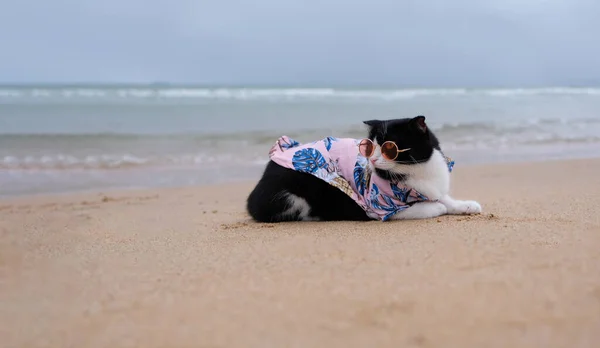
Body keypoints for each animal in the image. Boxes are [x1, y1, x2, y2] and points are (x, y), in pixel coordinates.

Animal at [245, 115, 482, 222]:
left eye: (389, 148)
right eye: (369, 147)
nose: (373, 160)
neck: (417, 172)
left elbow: (444, 198)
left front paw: (465, 205)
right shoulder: (378, 207)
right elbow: (425, 207)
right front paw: (435, 207)